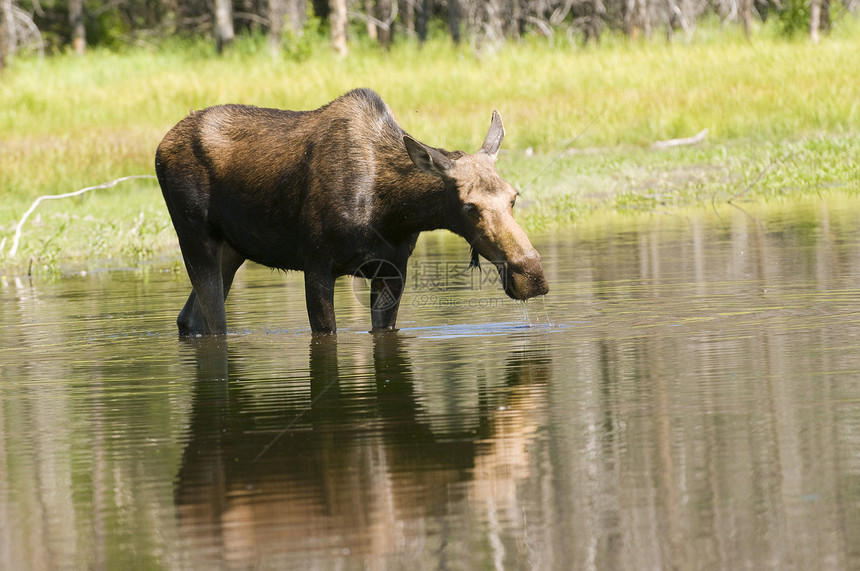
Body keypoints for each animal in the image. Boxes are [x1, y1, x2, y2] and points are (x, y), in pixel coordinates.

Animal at [155, 89, 548, 336]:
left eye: (514, 196)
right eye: (469, 206)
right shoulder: (316, 264)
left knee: (189, 319)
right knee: (215, 324)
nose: (531, 274)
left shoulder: (392, 269)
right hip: (194, 238)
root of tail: (161, 147)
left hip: (233, 249)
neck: (395, 211)